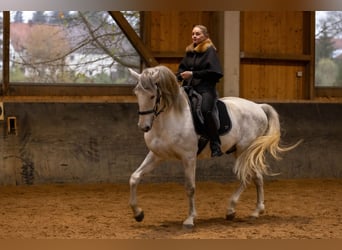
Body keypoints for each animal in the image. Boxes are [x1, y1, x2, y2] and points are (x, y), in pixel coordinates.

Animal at [128, 65, 300, 229]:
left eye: (152, 96)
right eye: (136, 93)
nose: (144, 127)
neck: (171, 117)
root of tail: (259, 107)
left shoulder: (189, 157)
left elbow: (190, 187)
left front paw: (190, 220)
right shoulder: (156, 156)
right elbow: (134, 178)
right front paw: (138, 214)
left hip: (244, 150)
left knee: (247, 176)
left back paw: (232, 209)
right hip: (242, 152)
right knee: (256, 176)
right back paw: (256, 211)